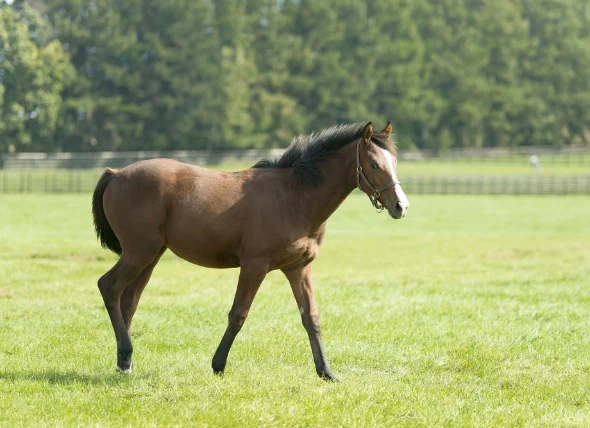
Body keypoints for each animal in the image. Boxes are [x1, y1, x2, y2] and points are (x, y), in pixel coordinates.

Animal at [92, 122, 412, 380]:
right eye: (373, 164)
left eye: (394, 161)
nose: (401, 206)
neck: (295, 198)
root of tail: (116, 173)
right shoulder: (254, 266)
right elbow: (238, 314)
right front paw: (218, 365)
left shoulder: (299, 268)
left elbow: (311, 318)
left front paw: (326, 371)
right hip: (138, 253)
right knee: (109, 287)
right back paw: (125, 355)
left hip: (151, 256)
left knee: (128, 300)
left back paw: (125, 364)